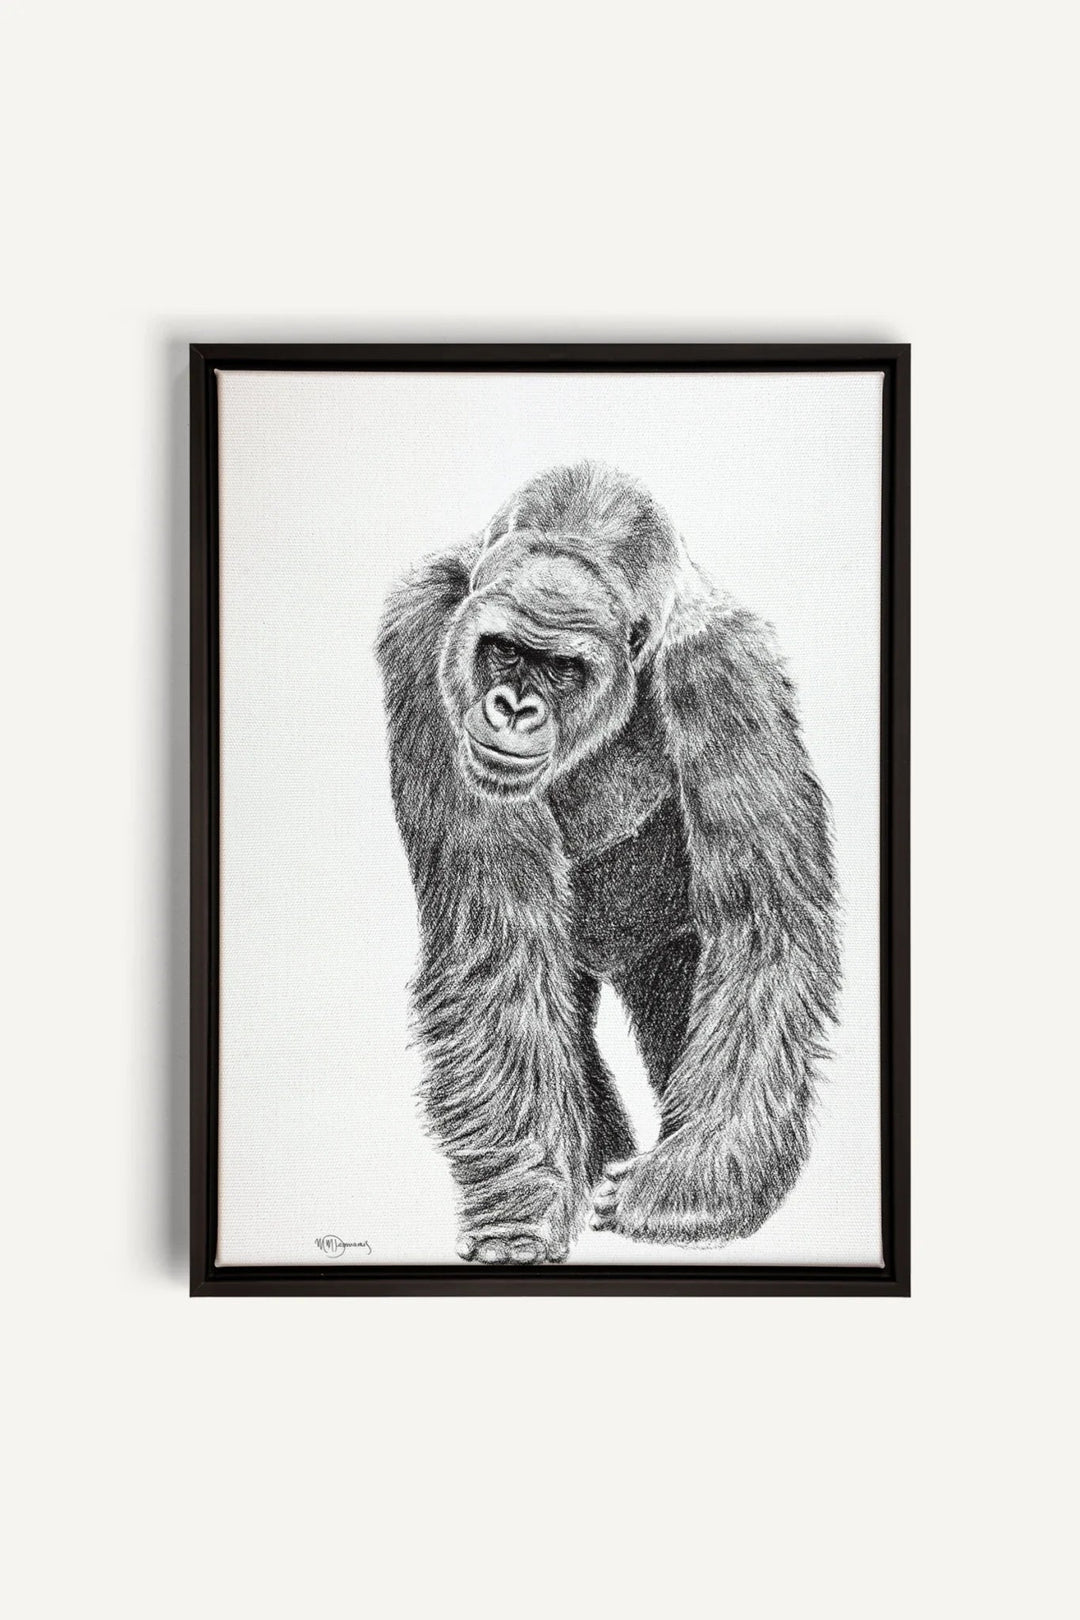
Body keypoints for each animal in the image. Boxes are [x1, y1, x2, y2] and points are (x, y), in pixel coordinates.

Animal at [377, 462, 839, 1263]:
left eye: (561, 667)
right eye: (506, 650)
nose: (511, 708)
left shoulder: (725, 672)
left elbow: (761, 928)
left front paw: (692, 1189)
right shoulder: (424, 633)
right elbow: (500, 945)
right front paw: (522, 1205)